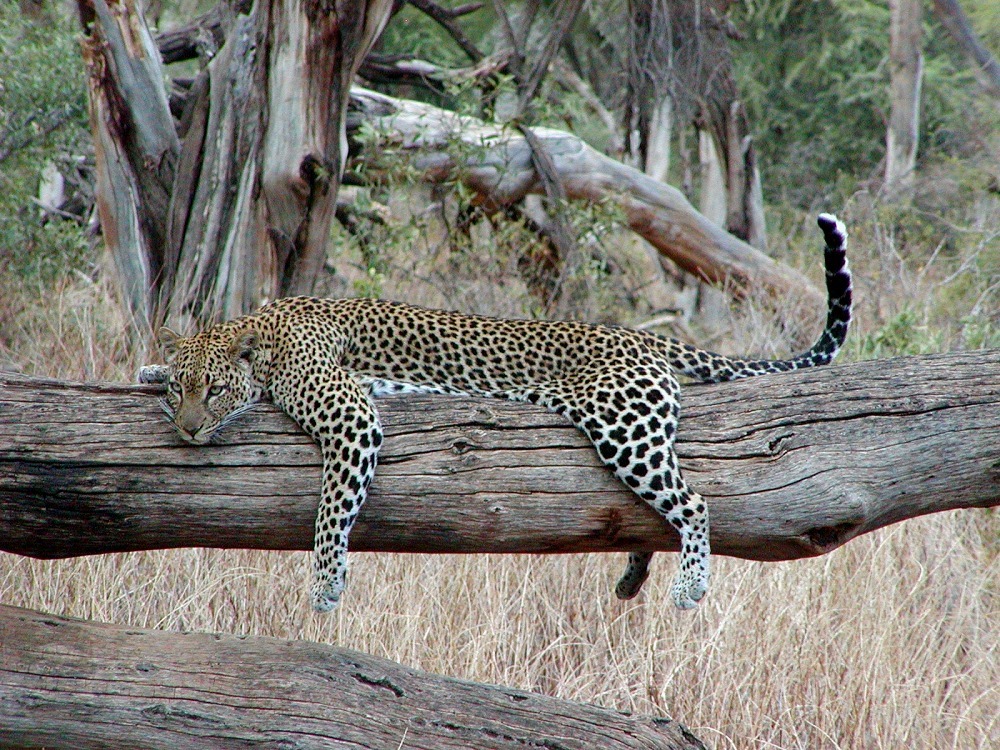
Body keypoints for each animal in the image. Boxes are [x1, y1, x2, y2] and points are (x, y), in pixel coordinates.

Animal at [141, 214, 852, 612]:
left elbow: (332, 507)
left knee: (695, 501)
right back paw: (632, 580)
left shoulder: (351, 417)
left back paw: (688, 589)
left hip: (623, 428)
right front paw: (147, 370)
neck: (260, 332)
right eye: (184, 390)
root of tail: (640, 336)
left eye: (214, 390)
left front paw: (325, 585)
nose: (190, 429)